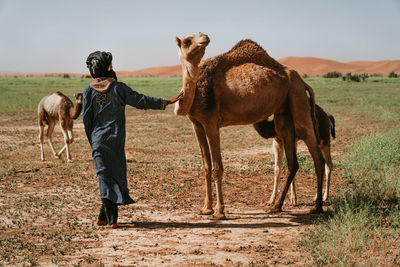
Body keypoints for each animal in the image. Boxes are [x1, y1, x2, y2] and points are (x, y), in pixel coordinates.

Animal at [174, 33, 324, 221]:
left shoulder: (211, 122)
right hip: (284, 113)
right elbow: (206, 166)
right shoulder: (197, 124)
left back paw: (317, 207)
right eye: (187, 41)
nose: (205, 37)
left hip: (297, 98)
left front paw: (219, 211)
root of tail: (303, 82)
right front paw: (206, 208)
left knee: (317, 155)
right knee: (293, 163)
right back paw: (276, 206)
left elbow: (217, 167)